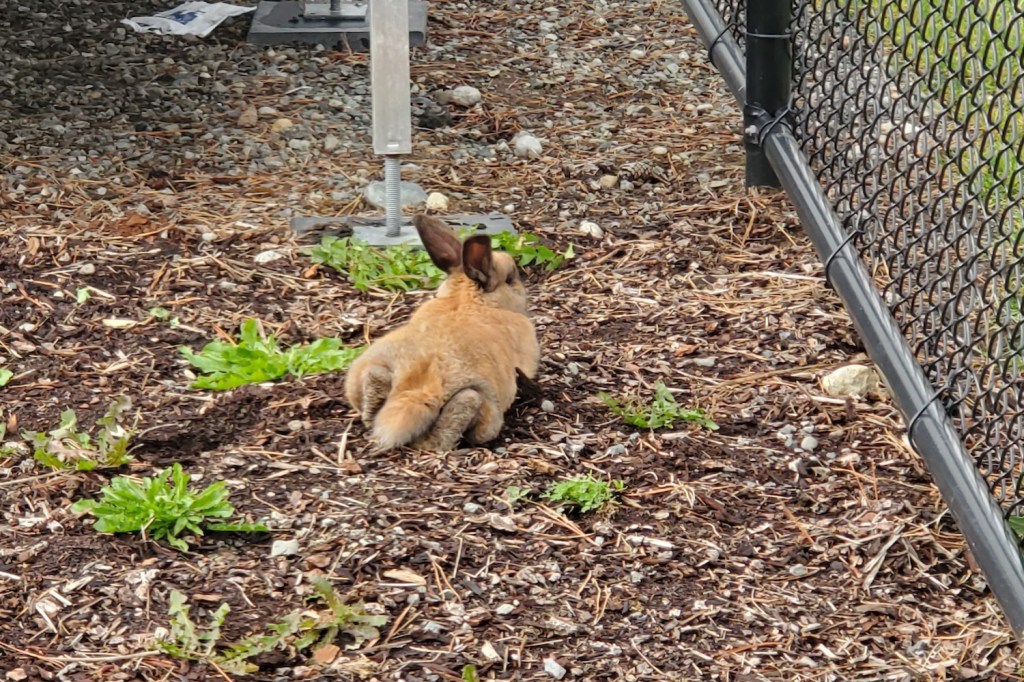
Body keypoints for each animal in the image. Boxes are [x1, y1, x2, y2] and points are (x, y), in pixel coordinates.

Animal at [344, 214, 541, 452]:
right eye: (510, 279)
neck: (468, 300)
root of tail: (419, 392)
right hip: (478, 406)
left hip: (371, 368)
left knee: (374, 381)